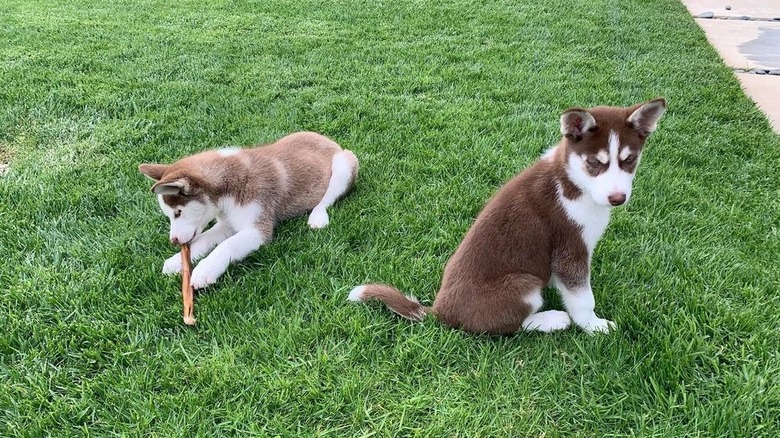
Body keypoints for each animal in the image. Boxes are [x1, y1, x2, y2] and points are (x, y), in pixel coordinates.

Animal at [141, 132, 360, 290]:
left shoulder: (258, 229)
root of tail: (326, 139)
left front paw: (205, 269)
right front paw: (176, 261)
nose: (174, 241)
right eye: (170, 215)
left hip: (345, 163)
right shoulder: (227, 224)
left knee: (328, 198)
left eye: (178, 213)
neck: (227, 191)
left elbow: (227, 246)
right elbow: (203, 238)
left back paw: (317, 216)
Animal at [350, 97, 668, 334]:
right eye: (594, 163)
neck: (574, 182)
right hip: (523, 285)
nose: (618, 198)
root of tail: (440, 311)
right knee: (510, 326)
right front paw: (594, 326)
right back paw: (552, 320)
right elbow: (582, 298)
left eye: (630, 160)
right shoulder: (569, 249)